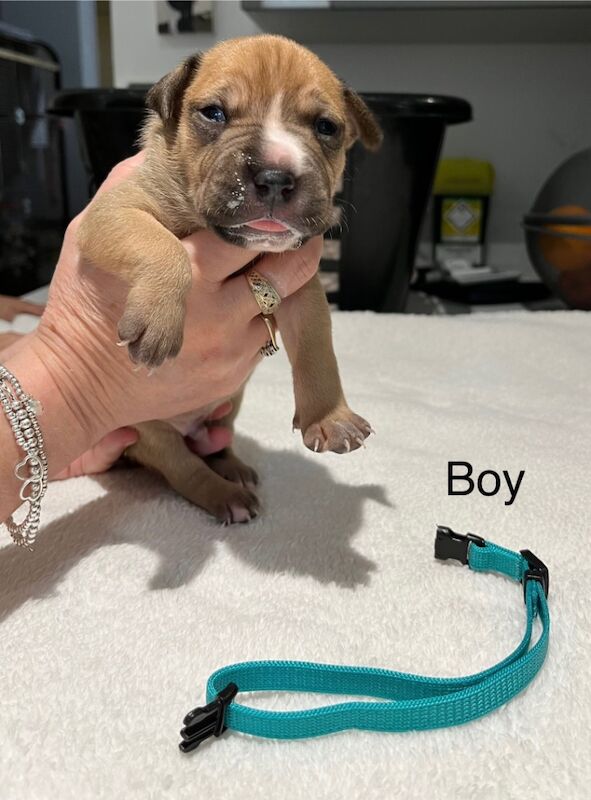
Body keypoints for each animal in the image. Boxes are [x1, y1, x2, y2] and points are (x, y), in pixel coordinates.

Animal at [77, 36, 384, 524]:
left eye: (326, 127)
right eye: (214, 113)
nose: (276, 176)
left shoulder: (302, 286)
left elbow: (318, 348)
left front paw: (330, 417)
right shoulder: (112, 212)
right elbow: (161, 245)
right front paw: (159, 321)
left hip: (228, 405)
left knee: (214, 446)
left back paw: (234, 469)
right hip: (148, 432)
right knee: (183, 468)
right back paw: (226, 496)